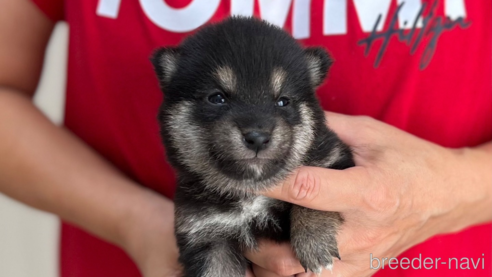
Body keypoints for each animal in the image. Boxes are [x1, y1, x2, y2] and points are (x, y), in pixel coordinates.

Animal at [150, 16, 354, 274]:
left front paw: (314, 242)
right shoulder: (207, 235)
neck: (250, 192)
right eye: (217, 98)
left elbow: (316, 200)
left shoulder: (333, 157)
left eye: (283, 101)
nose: (257, 137)